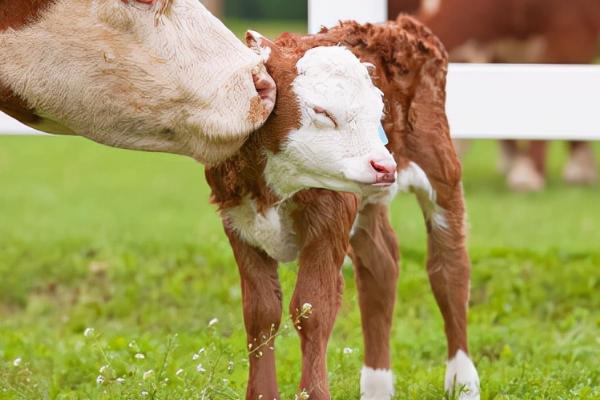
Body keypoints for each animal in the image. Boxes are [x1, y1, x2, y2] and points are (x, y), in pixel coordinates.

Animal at [206, 16, 478, 400]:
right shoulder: (238, 221)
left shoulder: (329, 220)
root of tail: (400, 26)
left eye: (378, 111)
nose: (384, 165)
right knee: (380, 267)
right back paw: (377, 386)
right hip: (367, 203)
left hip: (442, 170)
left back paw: (463, 382)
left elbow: (313, 307)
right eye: (322, 111)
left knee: (449, 271)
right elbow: (261, 312)